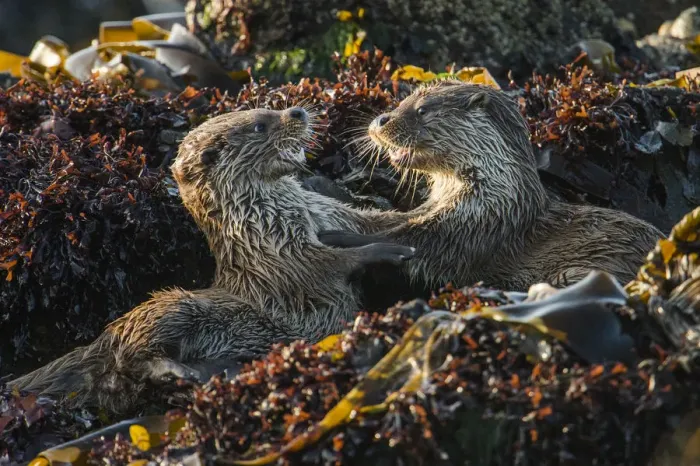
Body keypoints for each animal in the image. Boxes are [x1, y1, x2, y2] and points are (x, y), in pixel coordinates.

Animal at [8, 107, 415, 413]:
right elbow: (328, 265)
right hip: (171, 309)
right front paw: (391, 250)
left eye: (268, 106)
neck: (266, 219)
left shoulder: (321, 222)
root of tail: (99, 339)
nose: (297, 111)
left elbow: (355, 230)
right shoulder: (284, 258)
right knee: (135, 357)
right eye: (260, 124)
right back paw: (185, 372)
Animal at [319, 80, 665, 291]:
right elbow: (388, 220)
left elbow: (411, 242)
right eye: (403, 100)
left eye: (422, 110)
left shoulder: (469, 230)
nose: (382, 119)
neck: (499, 199)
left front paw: (339, 238)